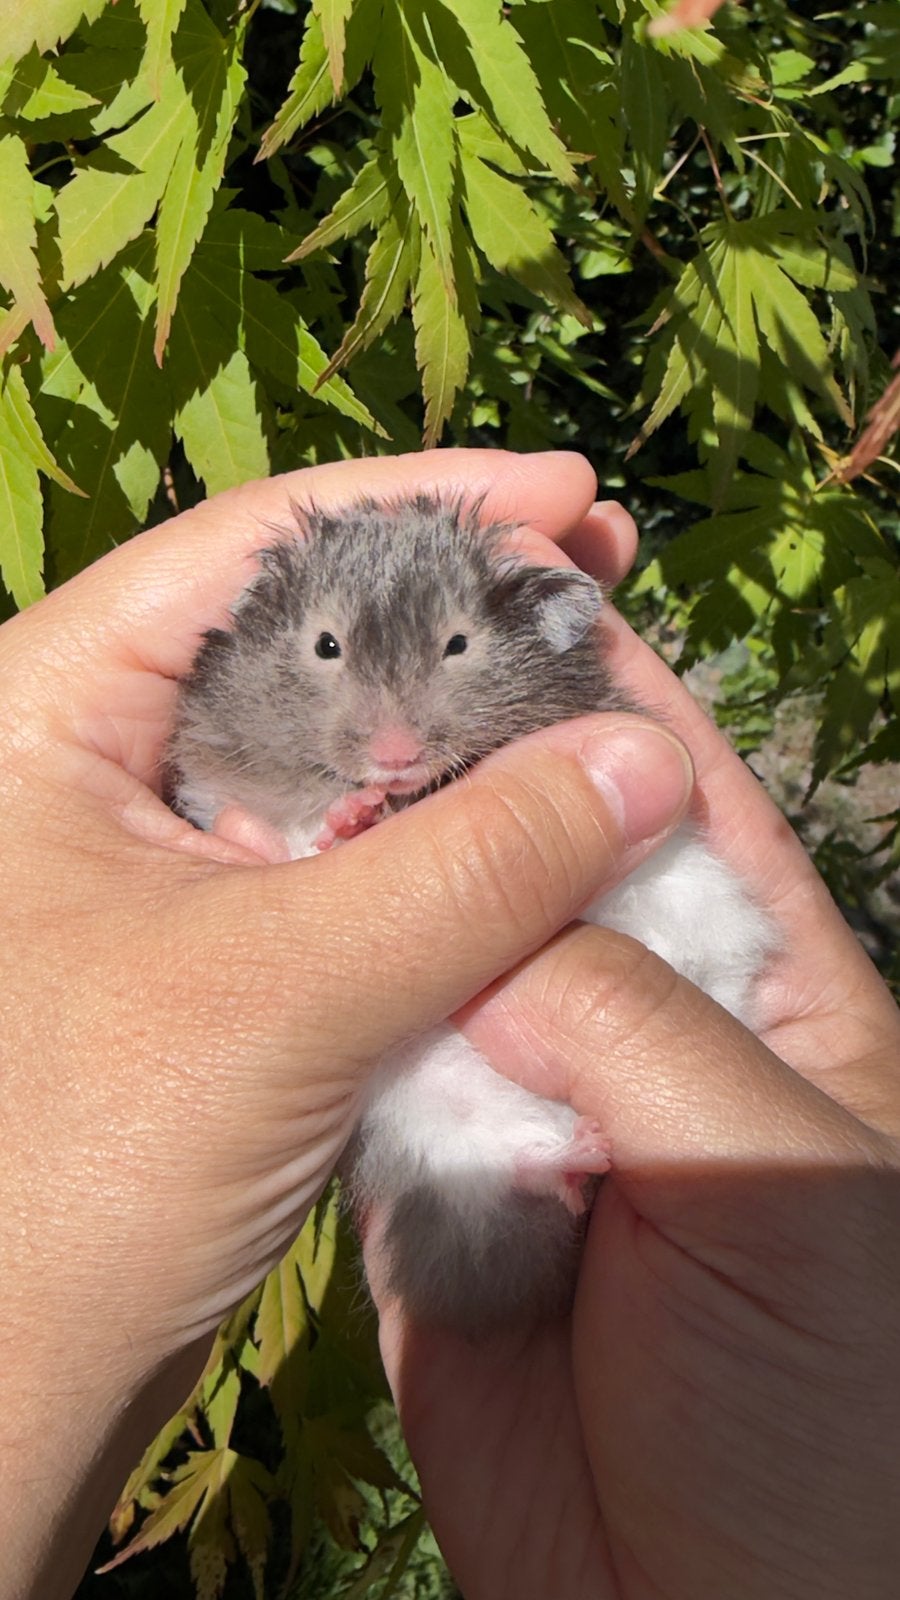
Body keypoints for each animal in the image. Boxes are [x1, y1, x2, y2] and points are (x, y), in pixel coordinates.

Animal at [167, 495, 775, 1336]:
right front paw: (346, 819)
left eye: (458, 644)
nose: (394, 757)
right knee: (522, 1173)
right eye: (326, 645)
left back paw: (596, 1146)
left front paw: (360, 812)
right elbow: (262, 829)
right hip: (438, 1126)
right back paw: (583, 1156)